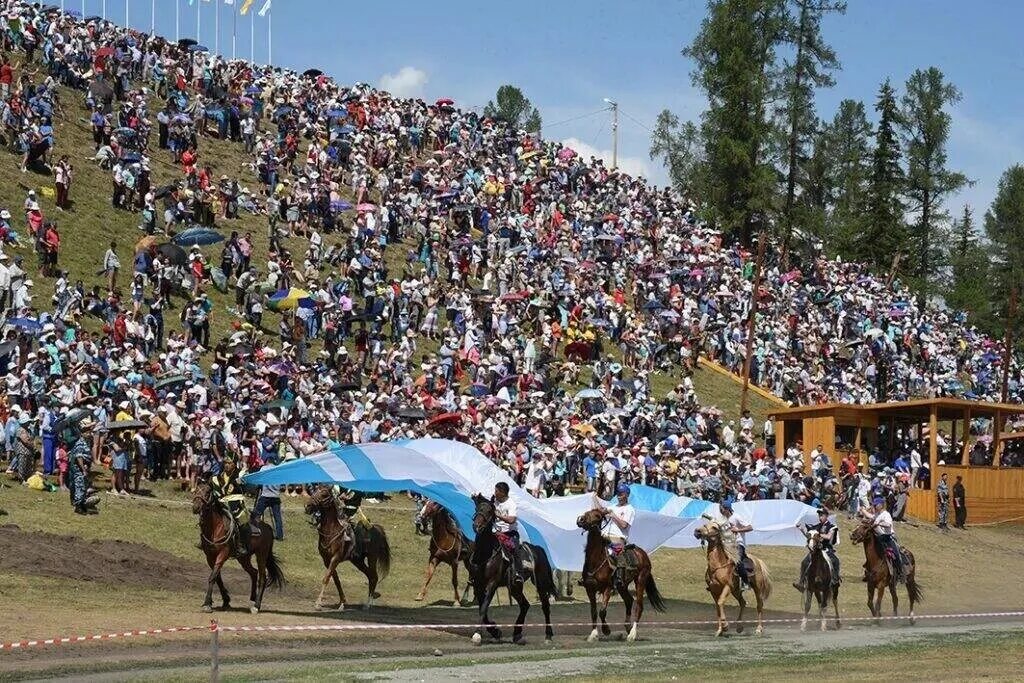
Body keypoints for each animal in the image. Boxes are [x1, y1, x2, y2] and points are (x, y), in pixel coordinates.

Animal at [191, 483, 284, 618]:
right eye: (196, 490)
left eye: (208, 492)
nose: (196, 507)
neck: (215, 527)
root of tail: (267, 527)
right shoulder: (209, 556)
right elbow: (217, 577)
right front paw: (225, 600)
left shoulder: (222, 554)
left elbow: (212, 577)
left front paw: (207, 603)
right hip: (244, 558)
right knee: (254, 572)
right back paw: (253, 597)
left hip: (261, 555)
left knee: (262, 577)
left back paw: (256, 606)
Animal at [468, 493, 557, 643]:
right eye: (477, 508)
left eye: (490, 511)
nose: (477, 526)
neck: (486, 554)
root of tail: (538, 549)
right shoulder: (478, 585)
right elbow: (482, 609)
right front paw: (495, 631)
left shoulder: (492, 584)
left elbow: (484, 607)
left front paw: (477, 634)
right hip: (515, 586)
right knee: (525, 605)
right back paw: (517, 633)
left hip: (540, 582)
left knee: (545, 606)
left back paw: (548, 635)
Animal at [577, 507, 663, 647]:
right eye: (587, 511)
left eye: (597, 515)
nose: (581, 520)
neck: (596, 559)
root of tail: (642, 553)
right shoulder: (589, 589)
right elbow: (594, 611)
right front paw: (593, 634)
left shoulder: (607, 588)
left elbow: (602, 611)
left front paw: (606, 630)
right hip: (622, 585)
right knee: (629, 600)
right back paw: (627, 627)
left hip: (641, 580)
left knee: (639, 606)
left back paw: (632, 634)